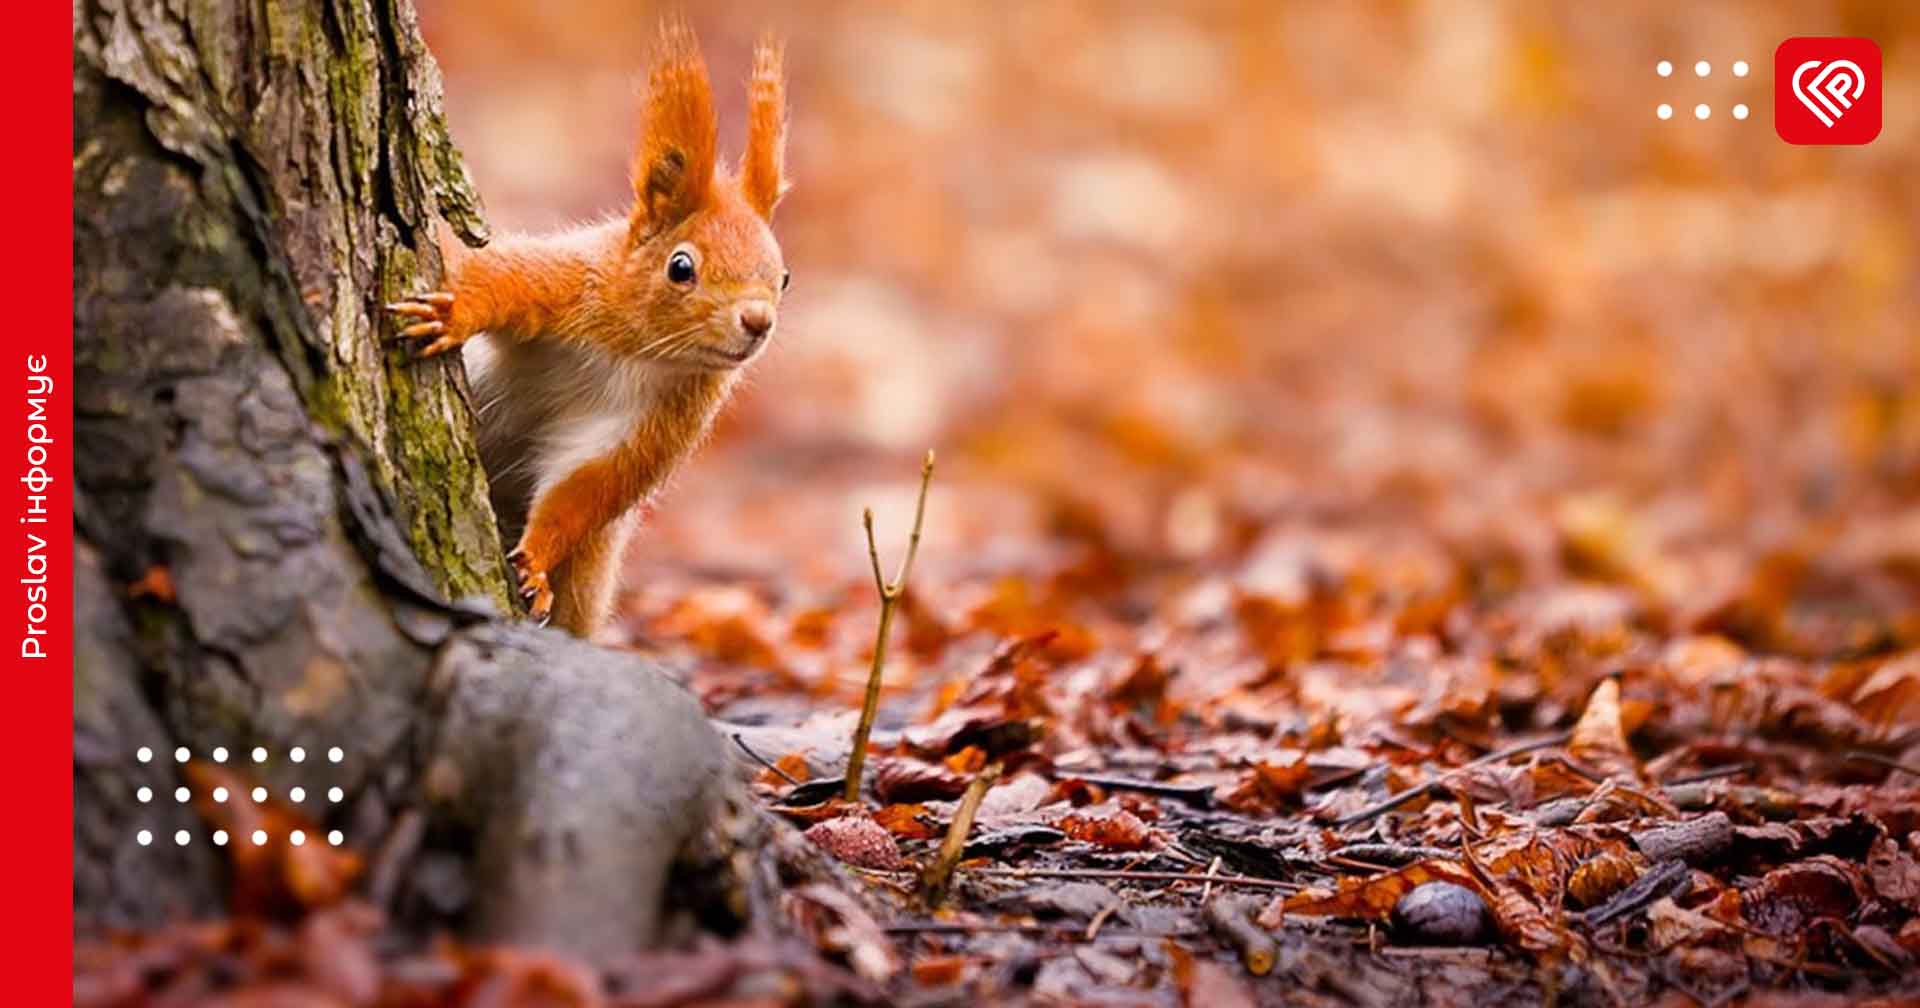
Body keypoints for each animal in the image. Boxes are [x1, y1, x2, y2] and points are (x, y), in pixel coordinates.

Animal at [387, 23, 787, 633]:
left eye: (784, 277)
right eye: (681, 267)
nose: (757, 321)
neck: (638, 351)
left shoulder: (662, 420)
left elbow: (587, 488)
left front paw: (534, 564)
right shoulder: (566, 284)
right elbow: (499, 279)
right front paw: (453, 312)